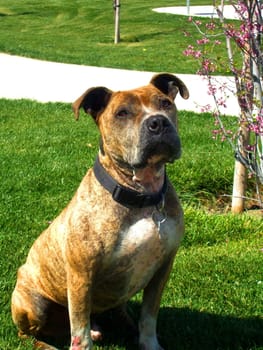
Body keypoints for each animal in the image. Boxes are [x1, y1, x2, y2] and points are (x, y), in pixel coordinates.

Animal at [11, 72, 190, 348]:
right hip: (32, 304)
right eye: (122, 113)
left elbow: (149, 318)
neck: (141, 196)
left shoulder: (162, 268)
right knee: (30, 334)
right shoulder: (81, 276)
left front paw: (148, 343)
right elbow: (80, 332)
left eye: (165, 103)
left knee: (119, 312)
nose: (158, 122)